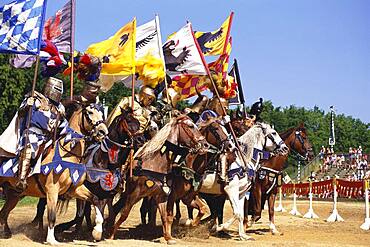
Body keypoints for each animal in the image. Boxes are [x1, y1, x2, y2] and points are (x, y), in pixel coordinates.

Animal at [0, 103, 108, 245]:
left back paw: (6, 232)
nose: (103, 132)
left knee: (3, 213)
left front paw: (97, 231)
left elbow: (95, 199)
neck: (67, 153)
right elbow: (52, 216)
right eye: (89, 112)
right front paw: (51, 240)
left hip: (14, 194)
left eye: (101, 113)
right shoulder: (52, 190)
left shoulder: (75, 189)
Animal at [105, 115, 210, 243]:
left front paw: (169, 237)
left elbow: (167, 216)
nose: (205, 145)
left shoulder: (167, 196)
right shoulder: (137, 193)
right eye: (190, 126)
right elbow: (125, 214)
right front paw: (111, 235)